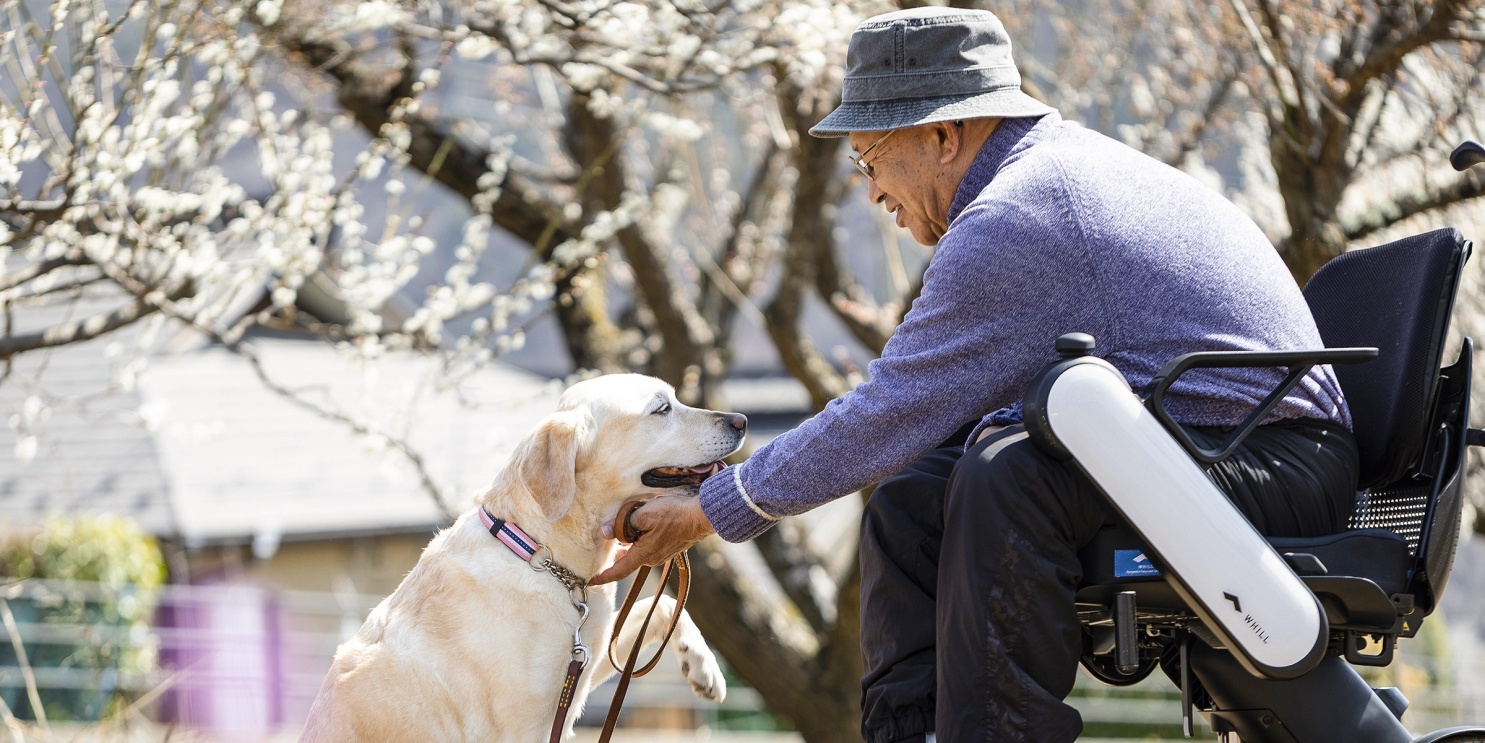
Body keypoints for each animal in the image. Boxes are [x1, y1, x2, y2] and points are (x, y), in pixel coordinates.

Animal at [298, 374, 742, 740]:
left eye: (675, 398)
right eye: (662, 408)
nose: (739, 420)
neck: (539, 552)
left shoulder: (585, 663)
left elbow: (663, 601)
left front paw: (703, 665)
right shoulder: (527, 724)